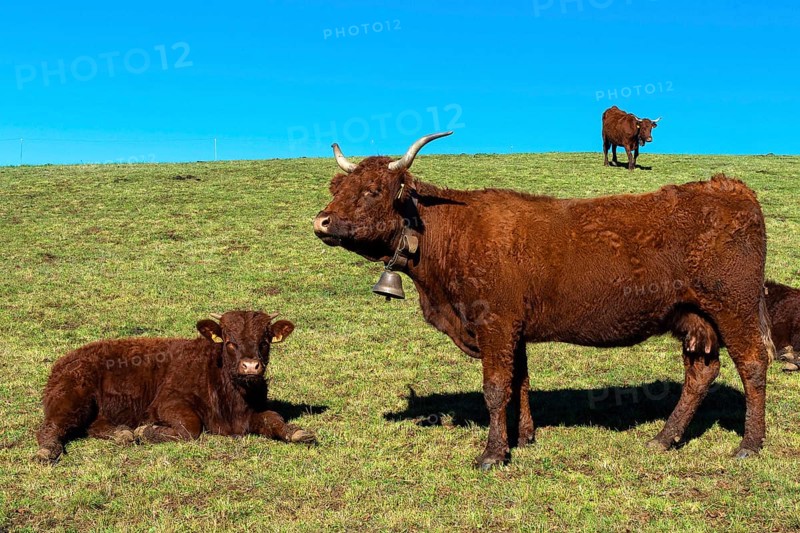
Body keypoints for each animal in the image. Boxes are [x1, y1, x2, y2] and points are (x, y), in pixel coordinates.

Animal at [35, 311, 316, 463]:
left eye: (265, 341)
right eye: (229, 341)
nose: (250, 366)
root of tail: (65, 360)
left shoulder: (252, 413)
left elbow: (273, 418)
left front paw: (298, 433)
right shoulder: (168, 402)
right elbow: (190, 429)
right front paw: (146, 430)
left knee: (94, 426)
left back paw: (122, 433)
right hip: (71, 399)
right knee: (51, 427)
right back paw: (47, 451)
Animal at [313, 132, 774, 469]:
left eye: (373, 190)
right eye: (337, 186)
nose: (321, 220)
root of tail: (729, 186)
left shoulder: (495, 323)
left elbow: (495, 388)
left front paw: (493, 453)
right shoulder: (512, 329)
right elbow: (520, 382)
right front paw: (524, 437)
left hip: (734, 308)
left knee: (752, 364)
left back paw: (749, 445)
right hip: (693, 317)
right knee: (701, 372)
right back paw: (663, 438)